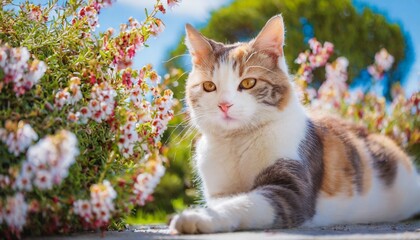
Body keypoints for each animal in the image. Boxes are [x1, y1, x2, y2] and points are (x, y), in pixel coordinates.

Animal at [168, 14, 420, 233]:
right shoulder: (219, 190)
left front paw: (197, 217)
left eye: (248, 83)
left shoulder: (291, 191)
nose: (224, 105)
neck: (237, 143)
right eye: (209, 86)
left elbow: (244, 202)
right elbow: (226, 200)